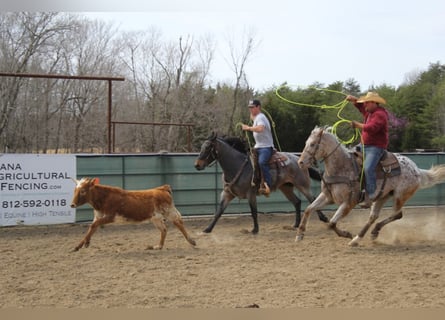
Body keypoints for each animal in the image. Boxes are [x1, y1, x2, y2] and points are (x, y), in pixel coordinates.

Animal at [193, 131, 328, 234]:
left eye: (207, 148)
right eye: (201, 147)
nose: (197, 165)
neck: (237, 165)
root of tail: (298, 159)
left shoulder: (250, 194)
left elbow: (254, 212)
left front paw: (255, 230)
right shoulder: (227, 193)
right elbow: (219, 211)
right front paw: (207, 229)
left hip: (302, 185)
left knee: (312, 199)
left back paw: (324, 219)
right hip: (286, 188)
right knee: (297, 202)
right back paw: (295, 224)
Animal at [294, 126, 445, 246]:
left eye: (313, 144)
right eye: (306, 143)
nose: (300, 162)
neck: (341, 167)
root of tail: (416, 169)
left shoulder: (348, 203)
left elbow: (331, 223)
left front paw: (346, 234)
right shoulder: (327, 197)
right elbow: (309, 209)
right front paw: (300, 234)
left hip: (400, 196)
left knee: (397, 214)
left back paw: (363, 235)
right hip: (382, 196)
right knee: (374, 217)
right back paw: (361, 237)